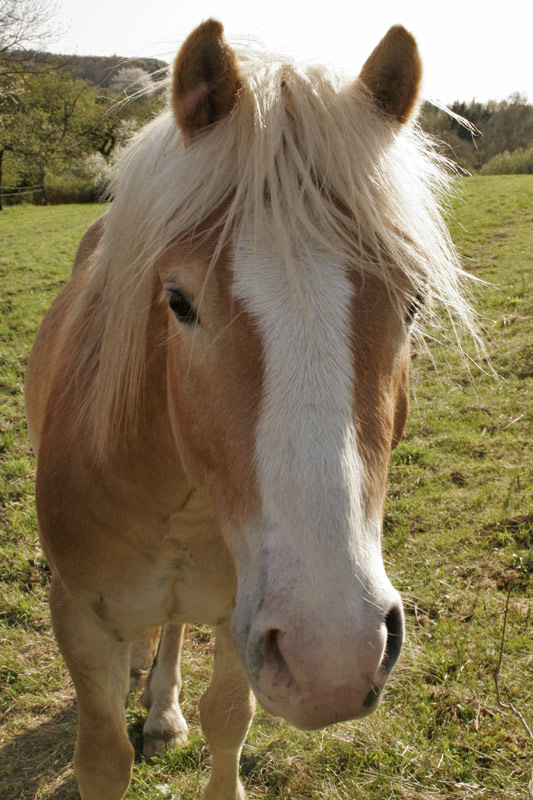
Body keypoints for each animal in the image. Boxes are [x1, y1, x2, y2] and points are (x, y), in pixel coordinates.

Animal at [23, 18, 474, 800]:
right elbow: (102, 755)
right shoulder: (78, 618)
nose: (336, 658)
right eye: (177, 300)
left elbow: (227, 718)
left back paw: (162, 710)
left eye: (414, 302)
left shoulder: (250, 621)